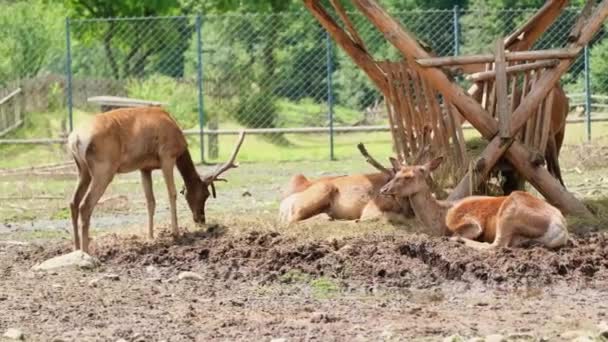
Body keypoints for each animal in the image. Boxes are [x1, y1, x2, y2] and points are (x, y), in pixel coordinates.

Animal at [68, 107, 245, 254]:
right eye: (206, 194)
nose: (201, 219)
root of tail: (75, 139)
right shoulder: (167, 156)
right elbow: (172, 193)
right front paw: (175, 233)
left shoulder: (145, 168)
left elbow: (150, 201)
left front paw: (151, 236)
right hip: (103, 170)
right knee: (85, 205)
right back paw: (86, 251)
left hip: (82, 170)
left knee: (73, 202)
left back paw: (76, 249)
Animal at [380, 156, 568, 250]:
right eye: (396, 172)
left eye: (408, 177)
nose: (383, 190)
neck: (440, 218)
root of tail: (560, 228)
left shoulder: (470, 223)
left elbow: (458, 233)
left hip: (510, 212)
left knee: (497, 246)